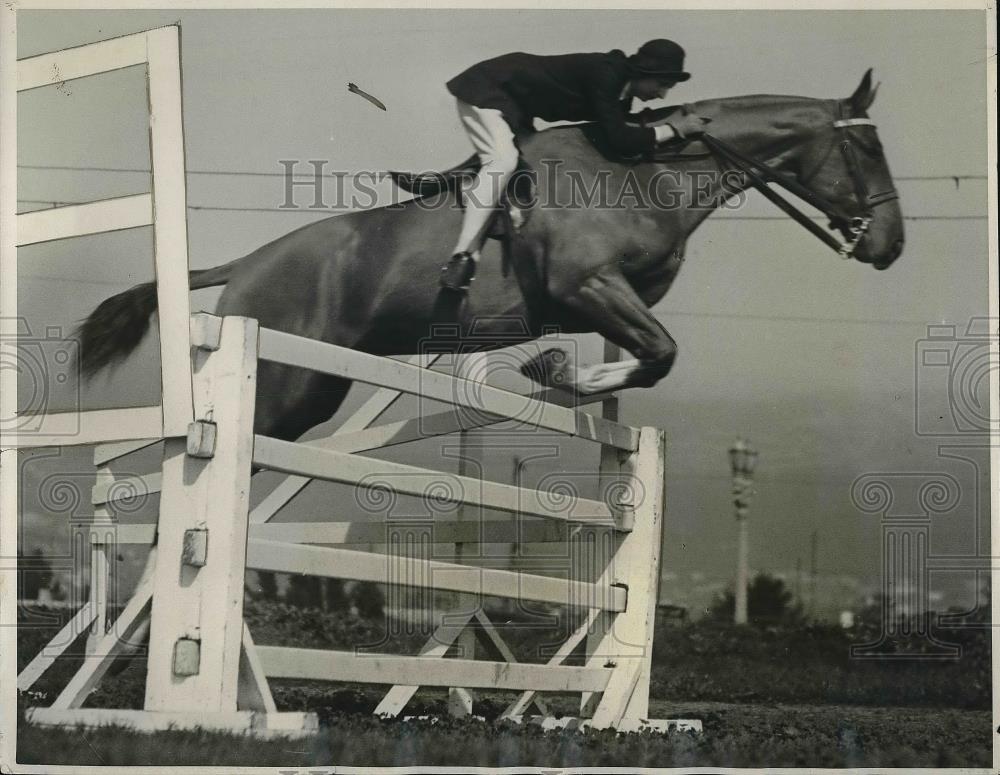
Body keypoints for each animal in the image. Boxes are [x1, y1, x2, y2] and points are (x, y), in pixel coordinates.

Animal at [76, 70, 908, 442]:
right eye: (868, 148)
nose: (892, 246)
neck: (649, 171)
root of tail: (242, 265)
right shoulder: (586, 284)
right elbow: (662, 353)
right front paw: (557, 371)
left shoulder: (616, 297)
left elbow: (651, 356)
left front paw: (564, 372)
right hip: (281, 384)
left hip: (313, 390)